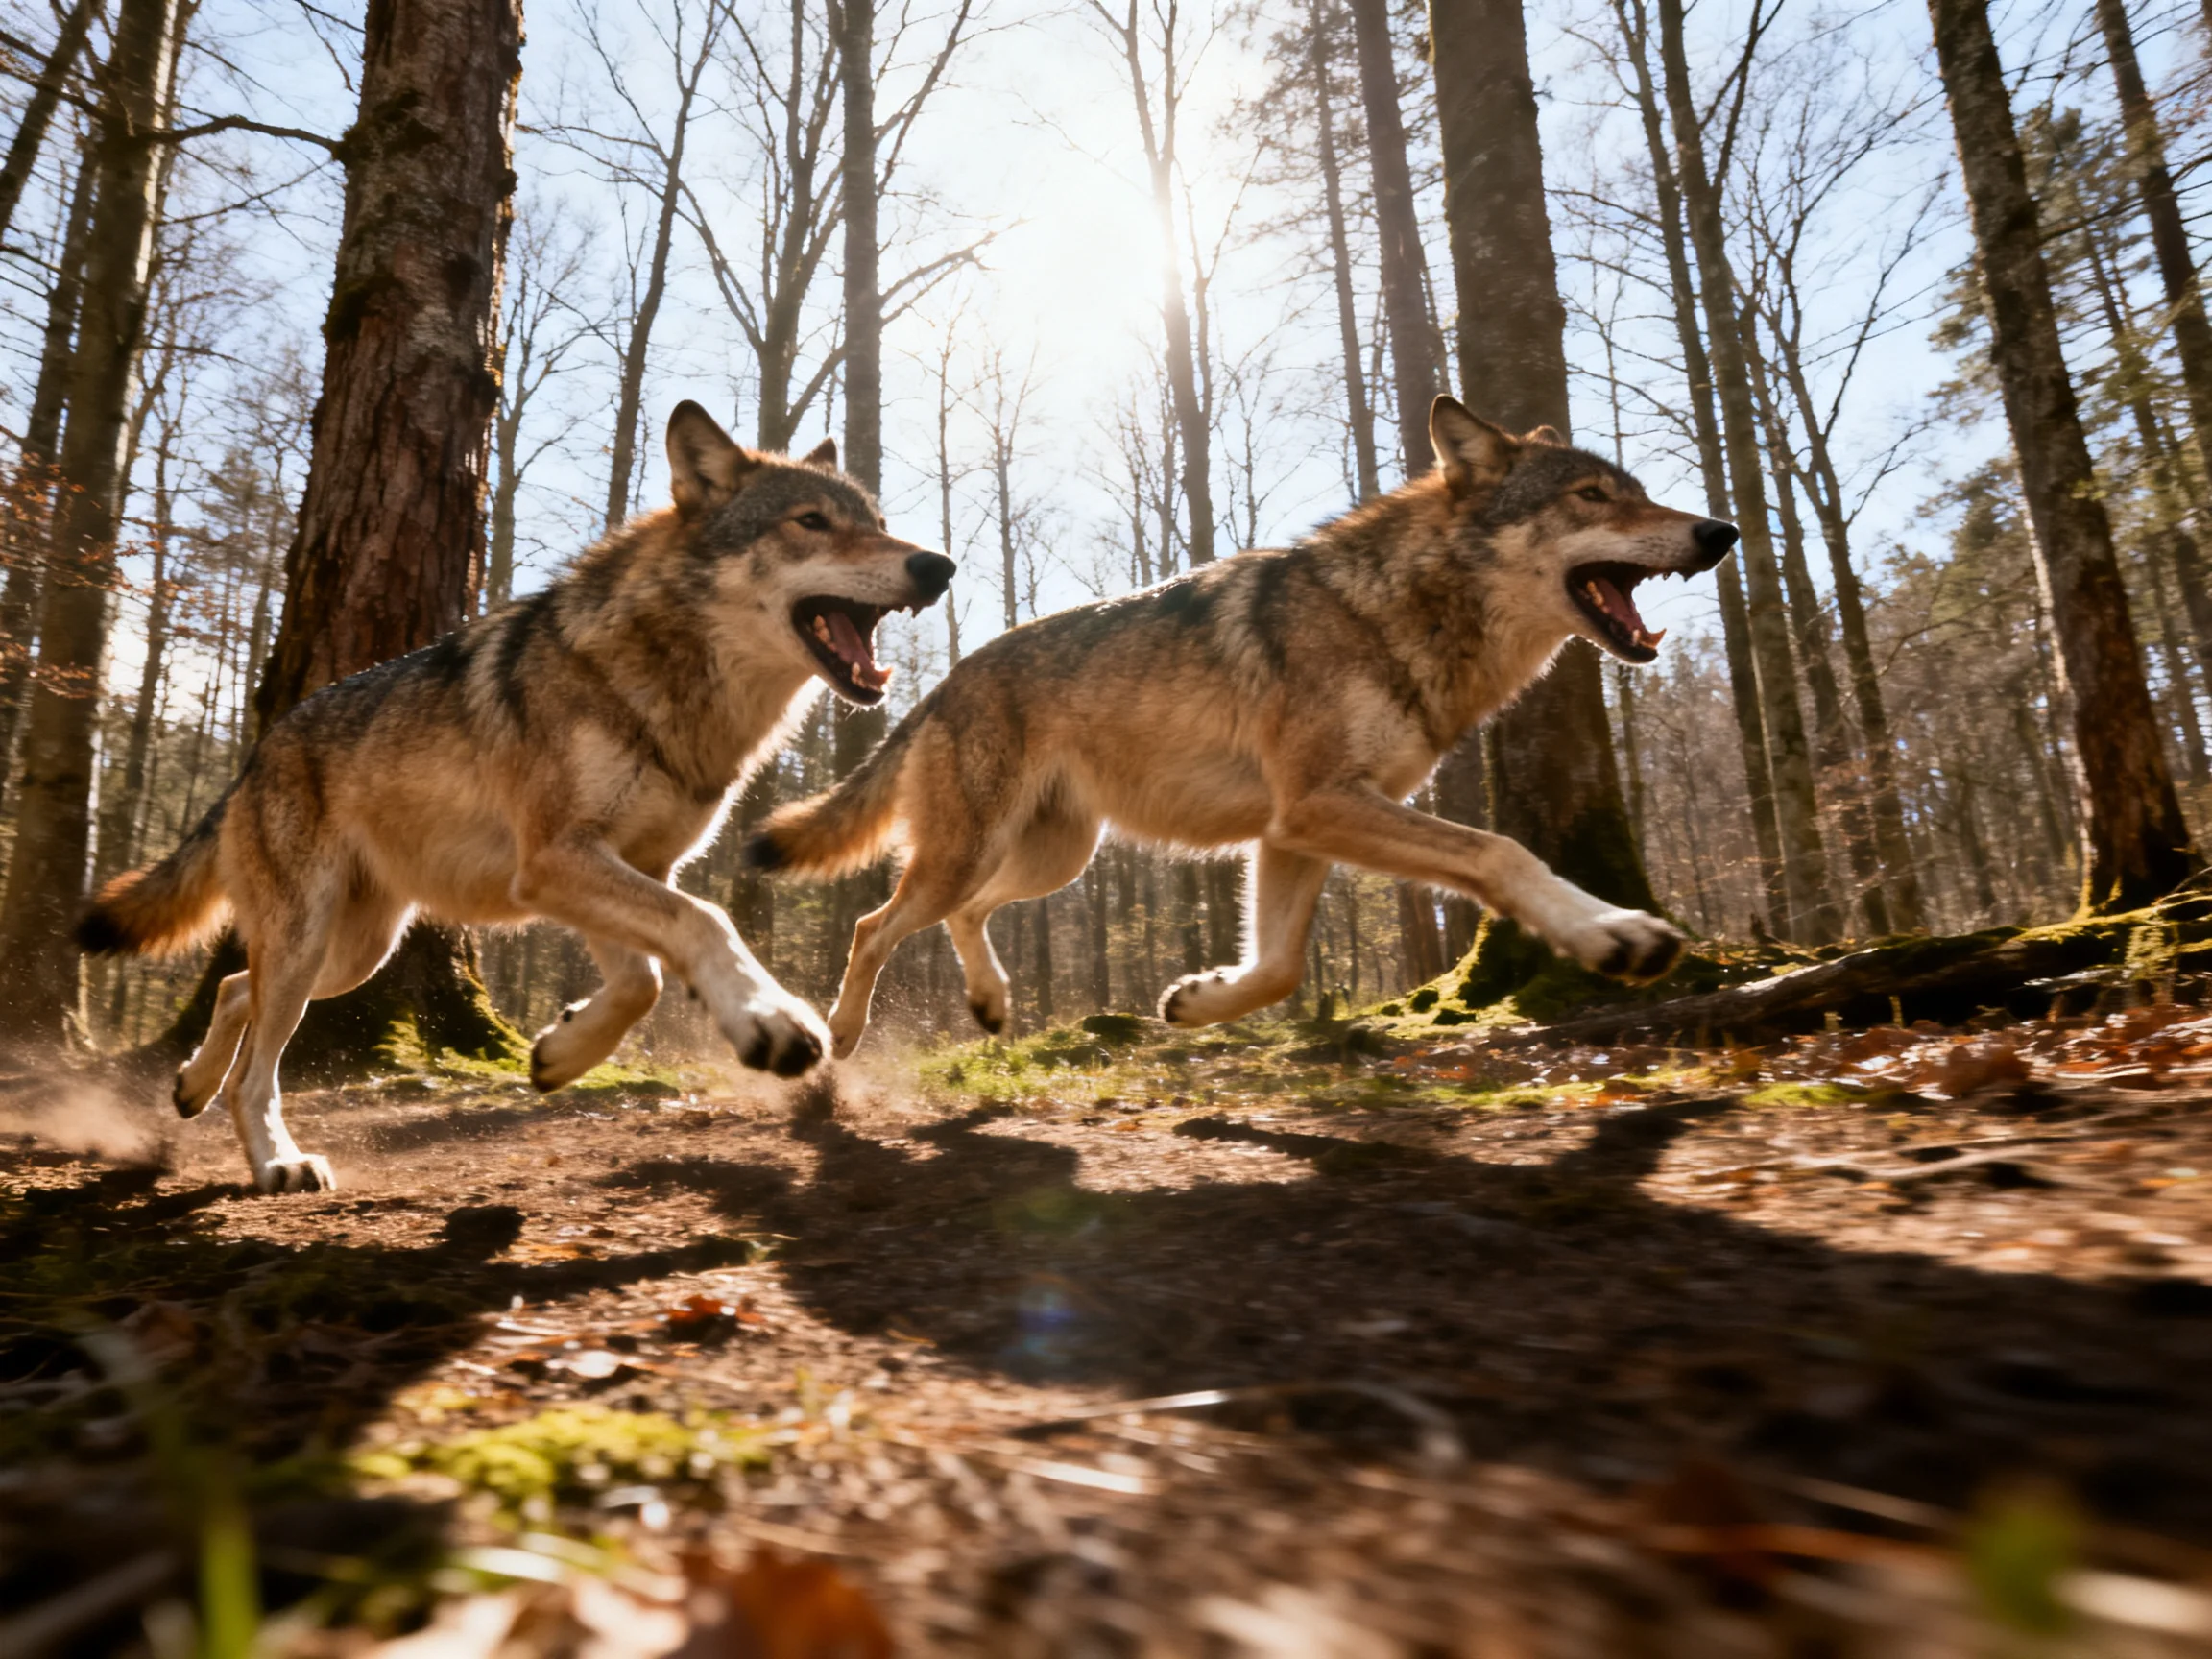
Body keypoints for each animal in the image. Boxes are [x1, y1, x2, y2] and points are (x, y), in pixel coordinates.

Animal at [79, 403, 955, 1193]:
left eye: (879, 523)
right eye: (811, 522)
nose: (936, 567)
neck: (672, 688)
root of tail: (256, 753)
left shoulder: (624, 868)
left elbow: (643, 981)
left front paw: (560, 1053)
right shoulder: (558, 860)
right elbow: (706, 922)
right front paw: (770, 1022)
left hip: (353, 953)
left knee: (235, 991)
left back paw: (189, 1086)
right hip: (313, 945)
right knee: (254, 1062)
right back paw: (275, 1162)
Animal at [749, 397, 1735, 1057]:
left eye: (1638, 492)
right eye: (1592, 497)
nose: (1720, 531)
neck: (1388, 610)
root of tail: (942, 683)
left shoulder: (1290, 829)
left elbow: (1280, 969)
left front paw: (1194, 1003)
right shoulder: (1317, 806)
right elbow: (1503, 853)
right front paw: (1616, 934)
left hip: (1051, 858)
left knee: (963, 915)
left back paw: (991, 1004)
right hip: (978, 853)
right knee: (873, 923)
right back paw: (840, 1040)